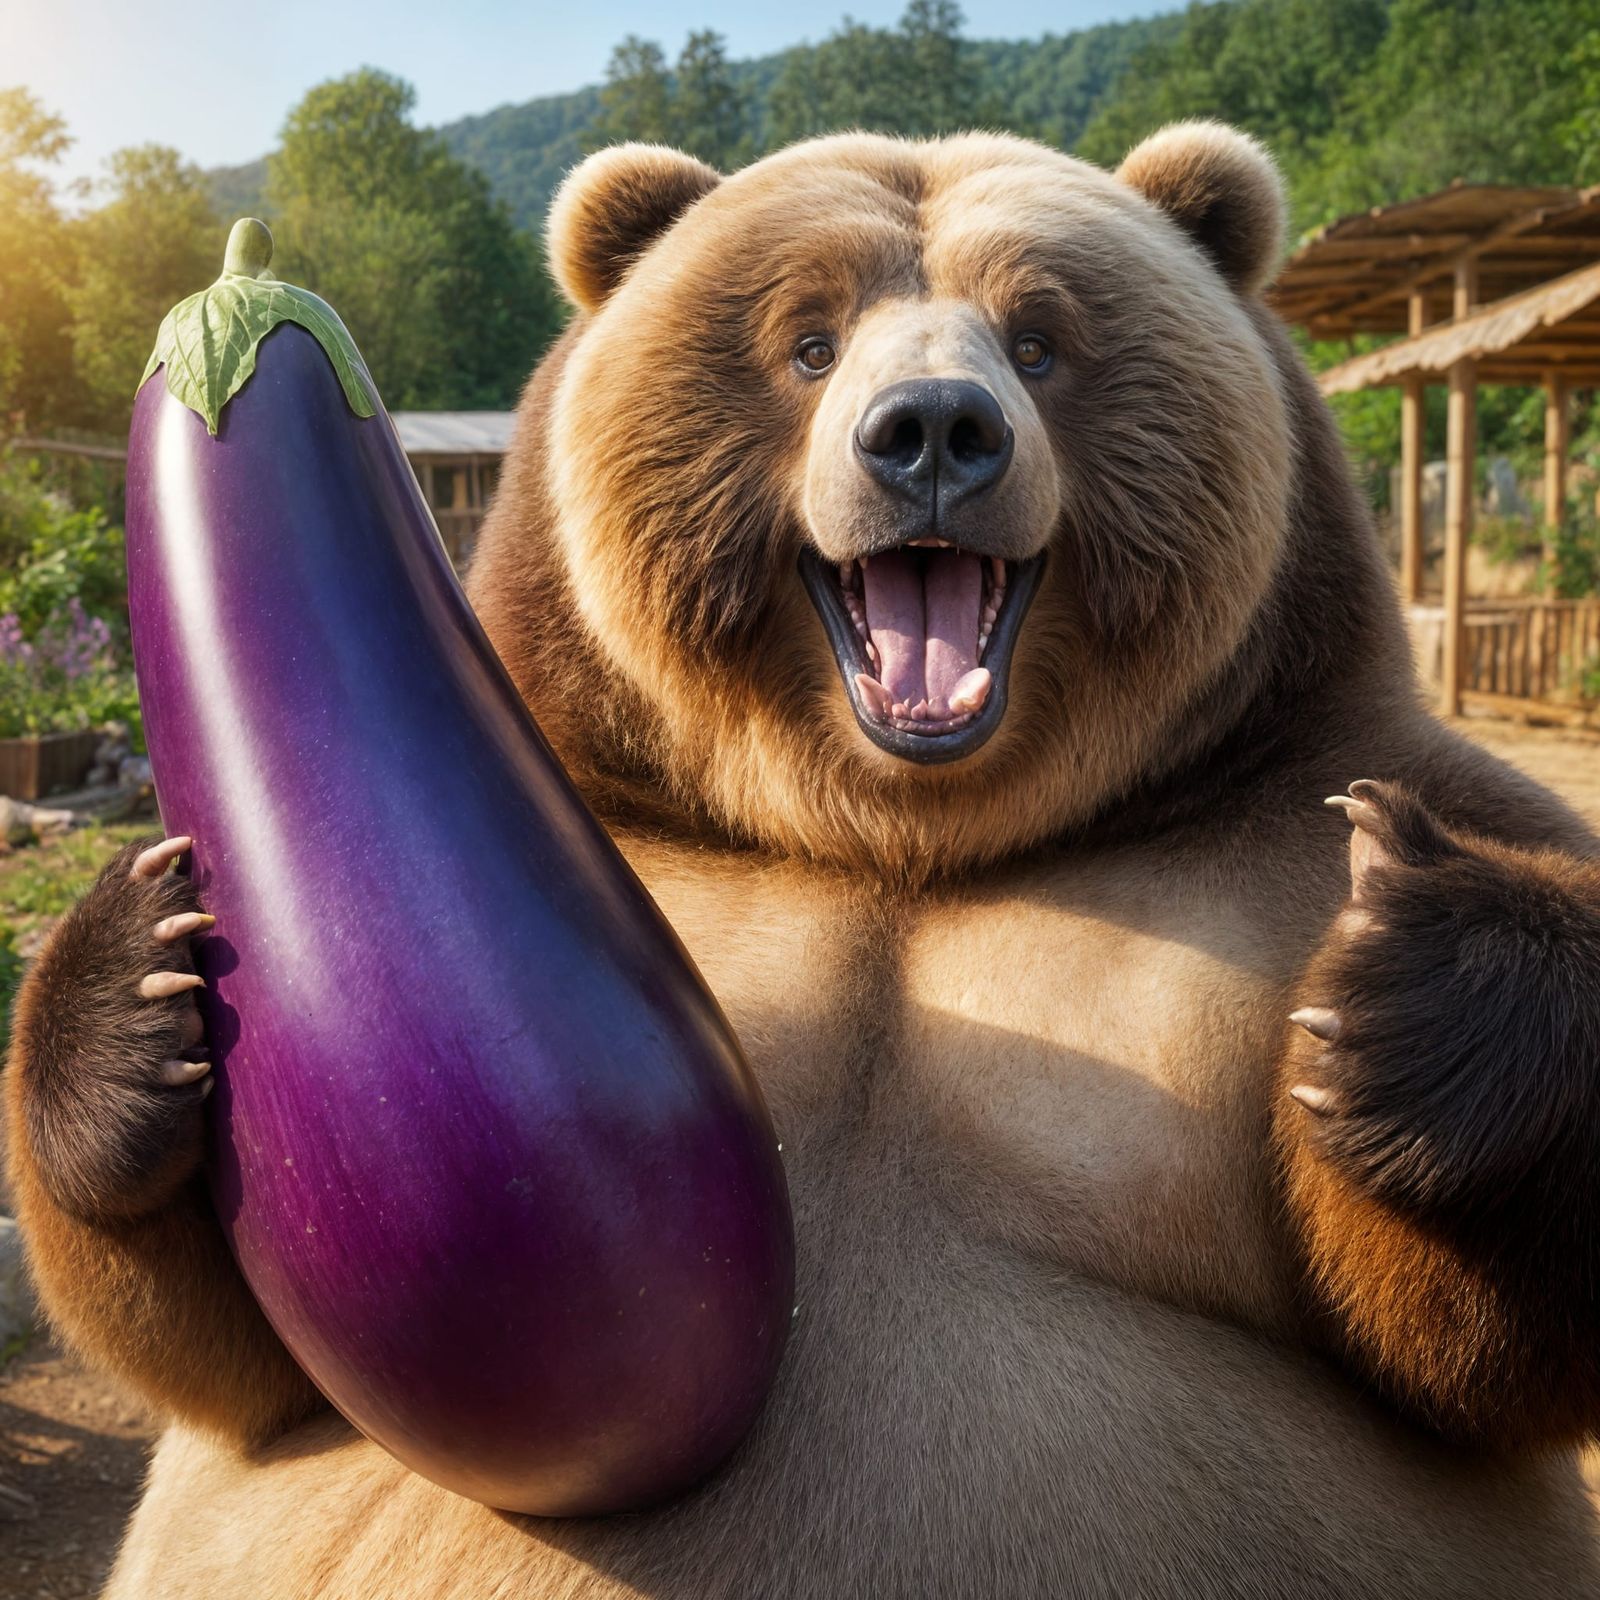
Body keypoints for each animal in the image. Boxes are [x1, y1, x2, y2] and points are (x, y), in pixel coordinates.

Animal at [7, 122, 1600, 1599]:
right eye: (808, 340)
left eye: (1041, 337)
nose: (936, 429)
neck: (899, 839)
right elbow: (225, 1358)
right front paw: (128, 985)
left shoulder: (1274, 832)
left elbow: (1455, 1343)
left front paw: (1414, 982)